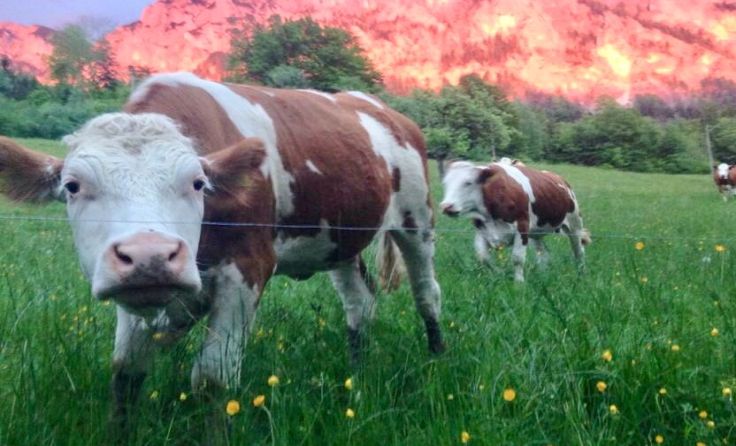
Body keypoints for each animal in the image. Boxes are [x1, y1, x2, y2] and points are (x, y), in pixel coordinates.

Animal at [0, 72, 444, 427]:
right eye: (72, 186)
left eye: (198, 183)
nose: (149, 255)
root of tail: (382, 108)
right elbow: (126, 373)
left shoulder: (246, 270)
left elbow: (212, 380)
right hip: (340, 238)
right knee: (360, 301)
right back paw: (356, 372)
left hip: (416, 219)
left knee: (427, 293)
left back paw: (436, 359)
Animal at [440, 160, 590, 282]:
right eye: (445, 183)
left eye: (468, 183)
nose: (446, 206)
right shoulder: (482, 231)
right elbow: (483, 257)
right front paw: (498, 273)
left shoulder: (522, 228)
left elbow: (517, 259)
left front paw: (518, 283)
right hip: (536, 233)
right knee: (544, 254)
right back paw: (543, 275)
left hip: (575, 224)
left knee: (579, 251)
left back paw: (581, 274)